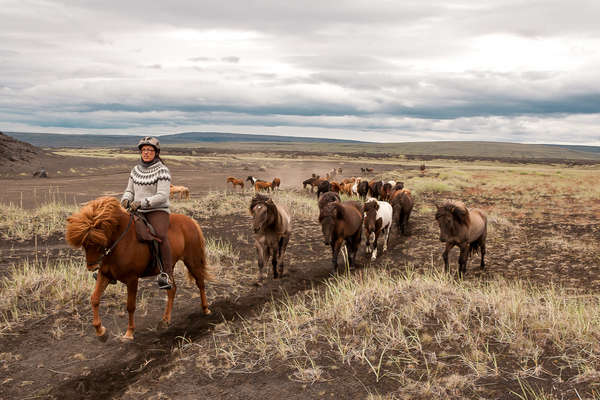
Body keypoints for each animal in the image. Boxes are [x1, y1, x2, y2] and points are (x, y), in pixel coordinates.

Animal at [65, 197, 211, 340]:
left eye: (97, 241)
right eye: (84, 244)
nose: (92, 267)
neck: (121, 242)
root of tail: (191, 221)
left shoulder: (132, 279)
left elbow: (130, 306)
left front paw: (129, 333)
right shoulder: (105, 274)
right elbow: (94, 299)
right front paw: (100, 331)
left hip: (192, 261)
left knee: (200, 283)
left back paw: (205, 309)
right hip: (169, 268)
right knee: (172, 289)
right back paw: (165, 320)